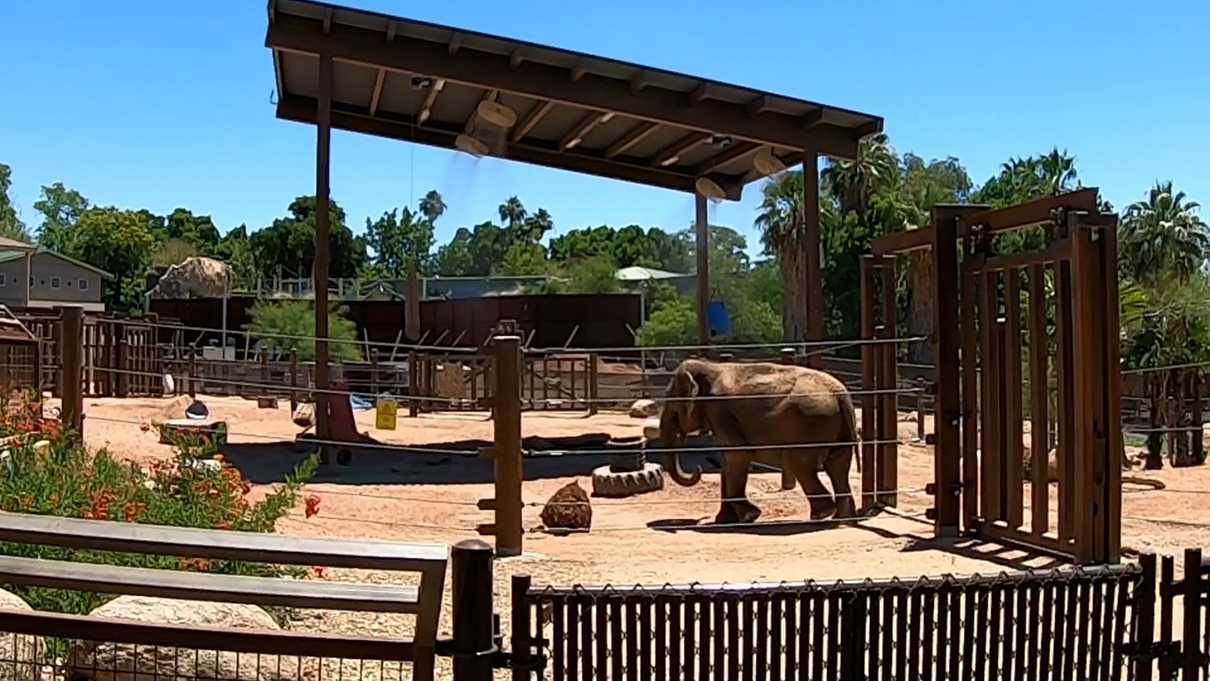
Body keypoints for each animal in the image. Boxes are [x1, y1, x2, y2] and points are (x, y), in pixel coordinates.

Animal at [663, 360, 861, 524]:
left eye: (672, 406)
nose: (697, 468)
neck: (709, 366)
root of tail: (841, 394)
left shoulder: (720, 412)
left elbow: (736, 456)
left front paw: (750, 516)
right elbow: (727, 461)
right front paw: (724, 520)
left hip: (812, 422)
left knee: (800, 464)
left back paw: (822, 515)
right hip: (837, 426)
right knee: (837, 465)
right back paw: (841, 519)